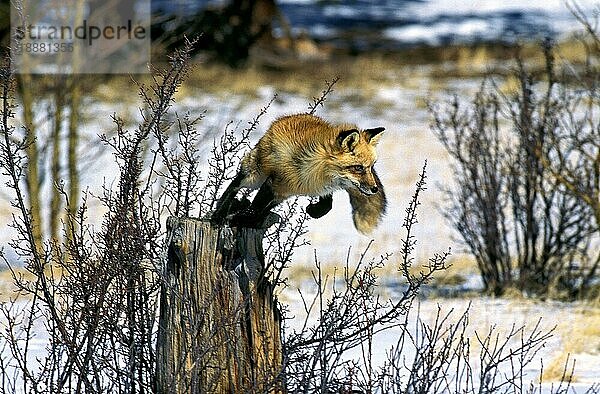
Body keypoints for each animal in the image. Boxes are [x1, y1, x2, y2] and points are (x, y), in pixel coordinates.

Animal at [213, 112, 386, 232]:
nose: (374, 188)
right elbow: (254, 208)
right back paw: (219, 213)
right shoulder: (274, 182)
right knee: (235, 185)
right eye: (358, 167)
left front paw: (314, 211)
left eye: (371, 166)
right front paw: (237, 218)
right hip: (255, 176)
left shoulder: (314, 189)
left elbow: (327, 206)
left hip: (282, 194)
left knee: (266, 206)